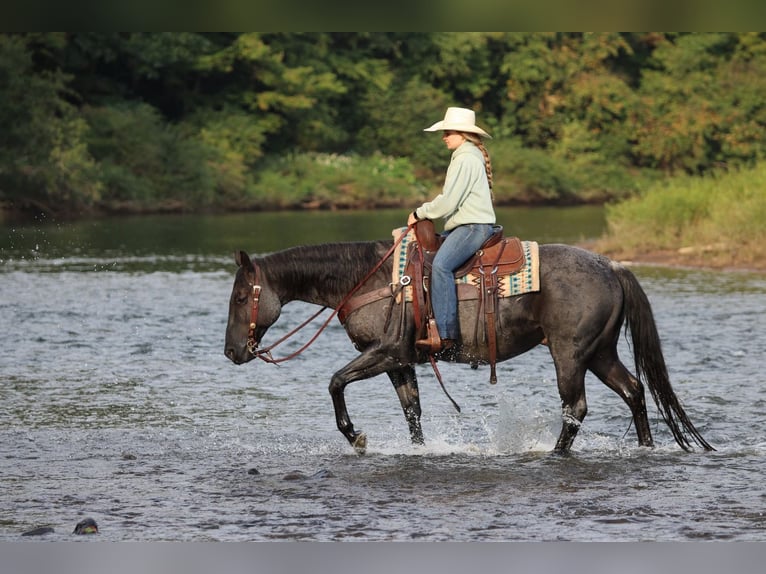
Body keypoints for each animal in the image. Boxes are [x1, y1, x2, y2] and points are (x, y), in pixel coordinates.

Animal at [224, 238, 713, 454]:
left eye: (241, 297)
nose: (231, 353)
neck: (371, 278)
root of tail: (611, 265)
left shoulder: (385, 352)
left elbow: (335, 382)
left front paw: (356, 436)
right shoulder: (400, 361)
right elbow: (413, 410)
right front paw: (419, 449)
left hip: (570, 353)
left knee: (575, 407)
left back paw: (553, 454)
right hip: (600, 352)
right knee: (634, 390)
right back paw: (646, 448)